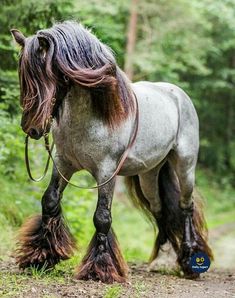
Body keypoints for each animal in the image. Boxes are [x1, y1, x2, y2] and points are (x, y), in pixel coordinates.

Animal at [11, 21, 213, 284]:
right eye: (23, 77)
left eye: (47, 76)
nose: (32, 129)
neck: (92, 116)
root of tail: (178, 95)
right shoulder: (63, 164)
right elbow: (50, 201)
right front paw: (41, 256)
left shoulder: (106, 172)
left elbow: (102, 217)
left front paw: (100, 269)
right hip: (149, 174)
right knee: (159, 208)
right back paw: (163, 256)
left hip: (185, 166)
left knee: (185, 206)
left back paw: (189, 260)